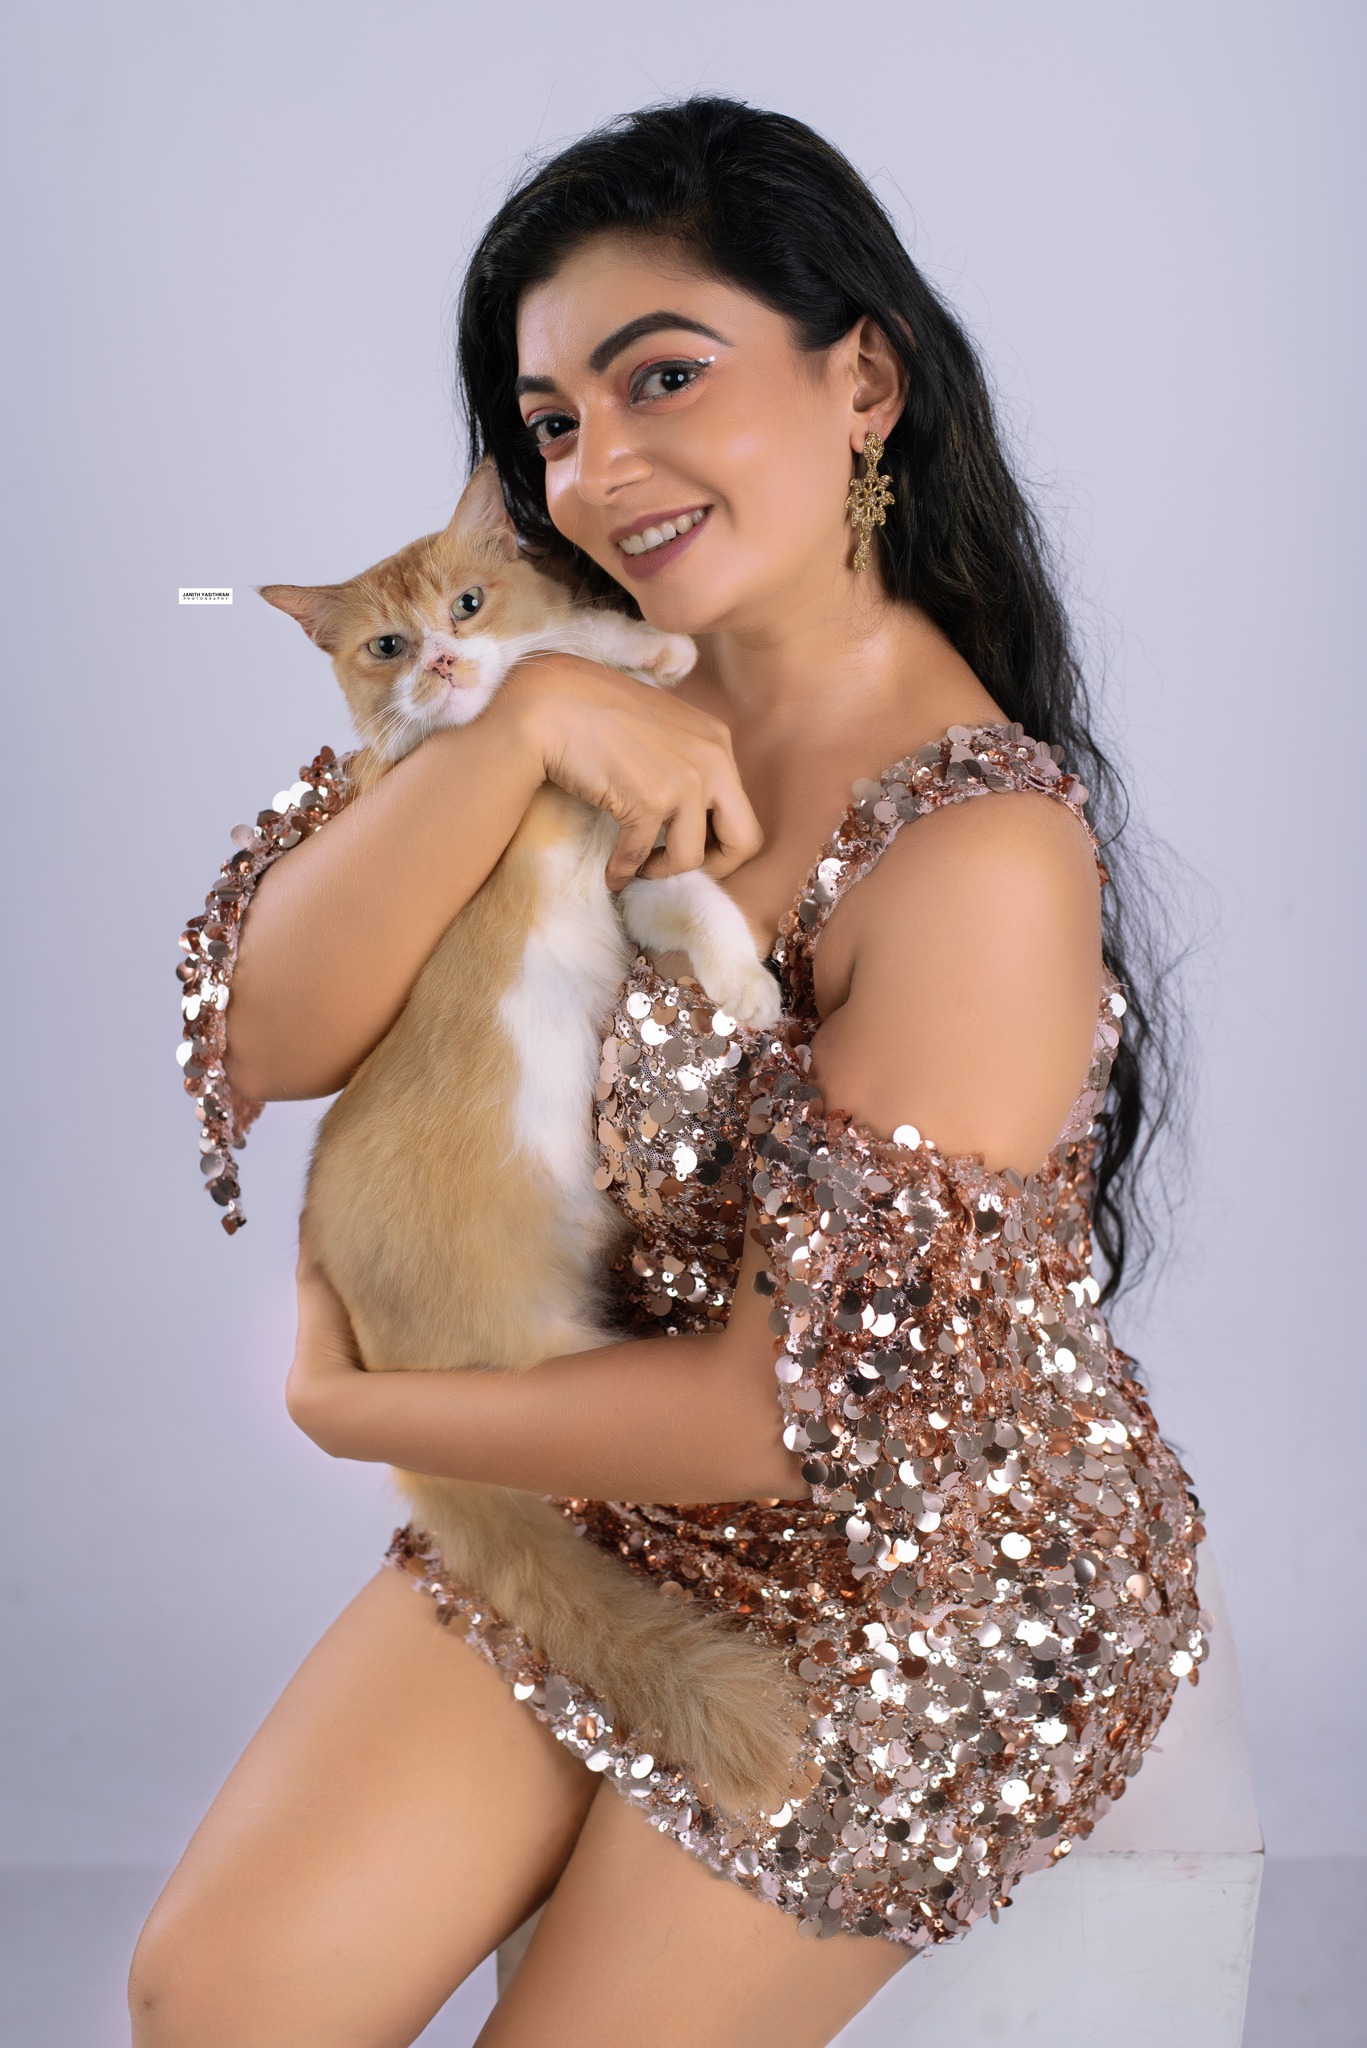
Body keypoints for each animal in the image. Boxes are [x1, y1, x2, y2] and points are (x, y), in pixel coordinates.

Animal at [258, 461, 805, 1818]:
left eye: (464, 600)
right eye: (388, 645)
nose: (446, 659)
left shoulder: (634, 867)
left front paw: (642, 645)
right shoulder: (592, 841)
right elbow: (569, 697)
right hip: (546, 1362)